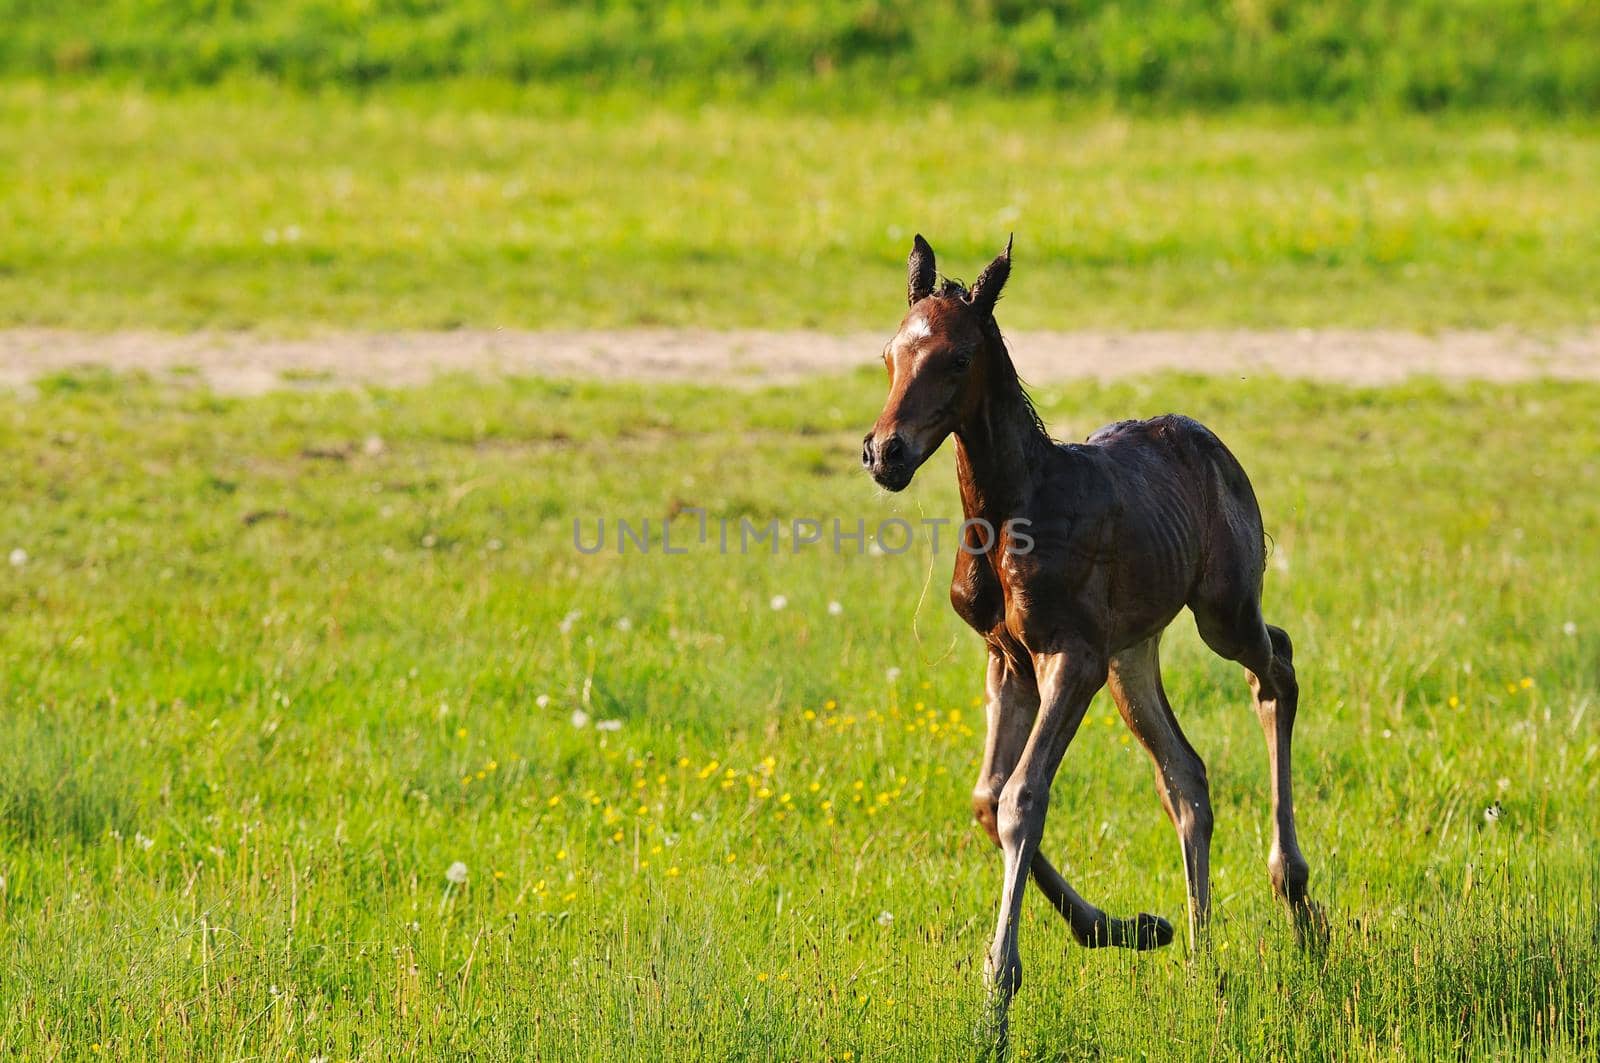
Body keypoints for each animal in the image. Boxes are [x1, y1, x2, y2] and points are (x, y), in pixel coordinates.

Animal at [864, 235, 1324, 1043]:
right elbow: (987, 798)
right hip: (1130, 657)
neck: (1011, 509)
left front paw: (998, 995)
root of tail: (1212, 447)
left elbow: (1021, 798)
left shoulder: (1068, 656)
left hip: (1220, 610)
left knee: (1278, 666)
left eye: (957, 358)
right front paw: (1129, 928)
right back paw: (1201, 958)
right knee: (1187, 774)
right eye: (890, 354)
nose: (884, 452)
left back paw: (1294, 894)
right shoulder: (1007, 660)